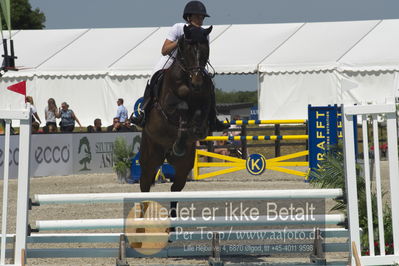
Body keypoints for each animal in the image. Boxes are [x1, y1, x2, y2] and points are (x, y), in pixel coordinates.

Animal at [139, 25, 214, 214]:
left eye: (206, 51)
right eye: (187, 50)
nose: (197, 83)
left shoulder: (205, 101)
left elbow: (200, 112)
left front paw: (195, 129)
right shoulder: (167, 105)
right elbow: (182, 107)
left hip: (182, 166)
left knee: (174, 189)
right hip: (150, 158)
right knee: (145, 187)